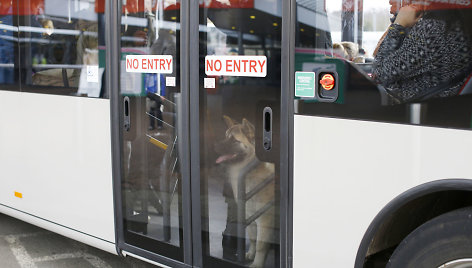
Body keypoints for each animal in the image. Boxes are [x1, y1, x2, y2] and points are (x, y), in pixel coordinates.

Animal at [215, 115, 276, 268]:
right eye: (225, 136)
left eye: (234, 140)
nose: (214, 146)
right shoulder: (249, 215)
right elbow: (253, 239)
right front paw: (250, 254)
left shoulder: (265, 220)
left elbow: (261, 244)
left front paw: (257, 263)